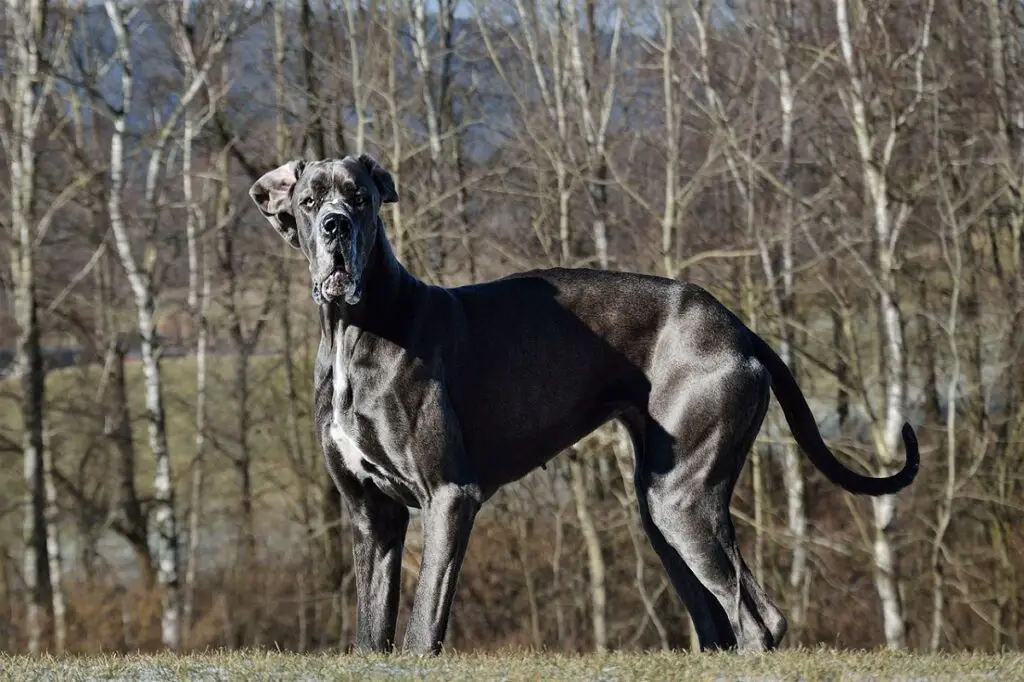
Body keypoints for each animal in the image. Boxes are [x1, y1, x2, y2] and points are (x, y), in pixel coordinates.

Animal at [249, 152, 921, 655]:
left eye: (359, 198)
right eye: (309, 202)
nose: (335, 226)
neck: (357, 328)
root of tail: (738, 327)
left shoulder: (448, 496)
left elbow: (420, 627)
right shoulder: (374, 518)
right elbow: (371, 630)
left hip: (680, 499)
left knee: (754, 622)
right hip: (661, 507)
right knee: (728, 622)